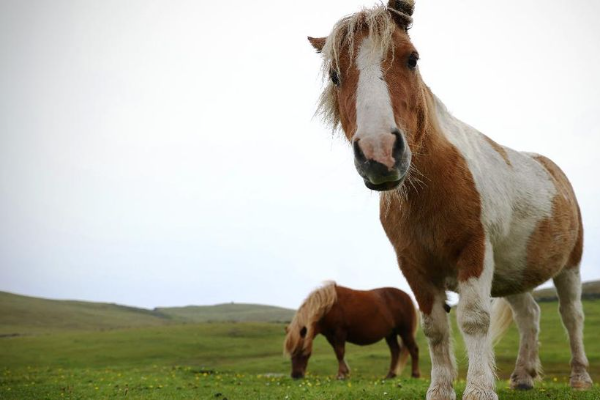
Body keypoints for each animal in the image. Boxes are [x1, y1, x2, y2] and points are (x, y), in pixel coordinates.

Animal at [284, 280, 420, 380]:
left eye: (301, 351)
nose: (296, 376)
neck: (329, 308)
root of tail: (407, 297)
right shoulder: (330, 336)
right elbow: (338, 353)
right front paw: (345, 372)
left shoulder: (339, 333)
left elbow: (340, 352)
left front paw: (341, 375)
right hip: (390, 334)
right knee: (395, 351)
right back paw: (390, 375)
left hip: (405, 332)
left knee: (413, 349)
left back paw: (415, 374)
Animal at [308, 0, 592, 400]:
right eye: (334, 75)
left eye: (412, 59)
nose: (380, 154)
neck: (431, 190)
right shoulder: (413, 266)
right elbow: (435, 328)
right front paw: (440, 389)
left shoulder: (474, 252)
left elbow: (473, 321)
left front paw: (479, 390)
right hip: (513, 272)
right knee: (530, 316)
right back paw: (522, 376)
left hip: (569, 266)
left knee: (571, 316)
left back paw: (579, 377)